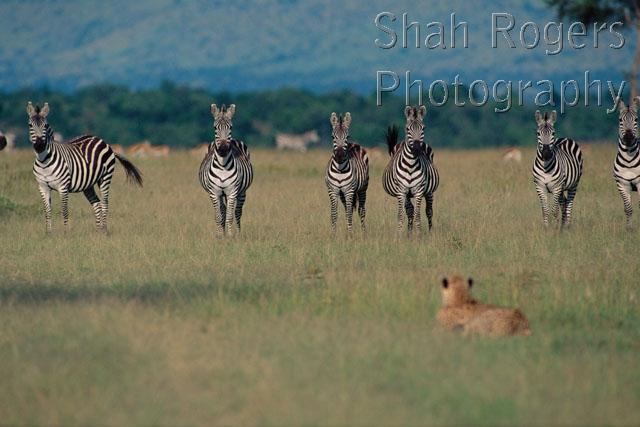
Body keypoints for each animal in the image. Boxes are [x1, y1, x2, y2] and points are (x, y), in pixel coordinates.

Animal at [26, 102, 143, 233]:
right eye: (30, 125)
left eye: (45, 125)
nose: (39, 146)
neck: (44, 161)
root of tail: (102, 140)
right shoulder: (43, 187)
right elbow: (47, 211)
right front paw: (48, 233)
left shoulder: (63, 187)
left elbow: (64, 210)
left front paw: (66, 233)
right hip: (88, 184)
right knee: (96, 204)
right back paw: (98, 231)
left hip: (105, 177)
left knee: (104, 203)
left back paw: (104, 230)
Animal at [199, 103, 253, 237]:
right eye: (215, 127)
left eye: (231, 127)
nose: (223, 149)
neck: (223, 165)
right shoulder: (214, 192)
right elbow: (219, 216)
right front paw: (220, 235)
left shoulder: (232, 191)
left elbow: (230, 216)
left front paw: (230, 236)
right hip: (221, 194)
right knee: (223, 210)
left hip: (241, 192)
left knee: (237, 212)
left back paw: (238, 233)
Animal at [383, 105, 439, 235]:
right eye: (407, 129)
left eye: (423, 128)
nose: (417, 149)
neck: (411, 165)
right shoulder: (401, 191)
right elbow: (401, 215)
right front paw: (399, 235)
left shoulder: (418, 191)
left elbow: (418, 215)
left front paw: (418, 235)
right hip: (407, 194)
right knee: (410, 210)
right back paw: (409, 234)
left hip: (429, 192)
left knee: (429, 211)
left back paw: (430, 233)